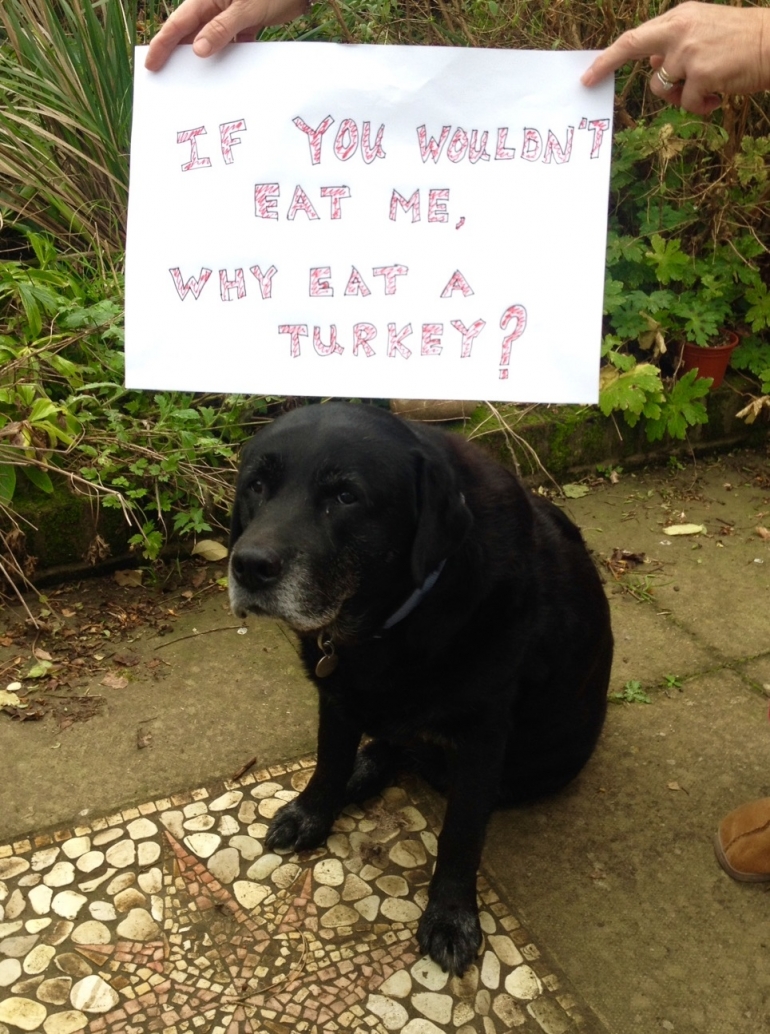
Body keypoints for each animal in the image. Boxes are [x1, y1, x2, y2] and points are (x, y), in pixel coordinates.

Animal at [228, 399, 611, 971]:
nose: (249, 566)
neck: (392, 622)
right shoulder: (337, 697)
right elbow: (328, 761)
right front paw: (314, 812)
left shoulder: (481, 738)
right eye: (257, 485)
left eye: (346, 496)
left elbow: (461, 834)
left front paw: (450, 916)